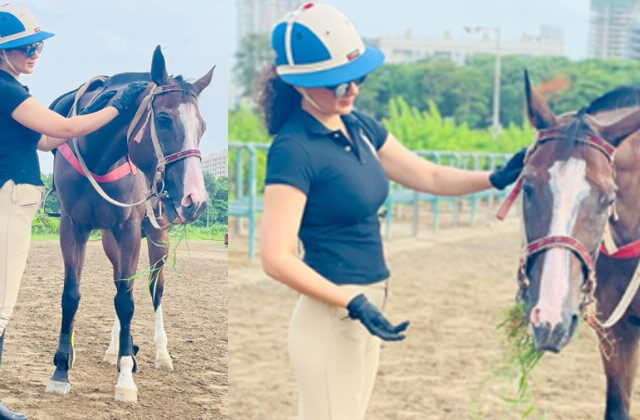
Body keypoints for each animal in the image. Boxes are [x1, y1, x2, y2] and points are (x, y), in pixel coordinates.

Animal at [43, 45, 214, 402]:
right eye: (163, 120)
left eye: (202, 127)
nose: (195, 199)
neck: (99, 159)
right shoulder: (72, 226)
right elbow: (73, 294)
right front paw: (61, 370)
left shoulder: (131, 230)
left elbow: (127, 300)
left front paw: (125, 379)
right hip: (112, 240)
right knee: (122, 283)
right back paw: (117, 349)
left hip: (158, 235)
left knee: (153, 288)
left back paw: (159, 354)